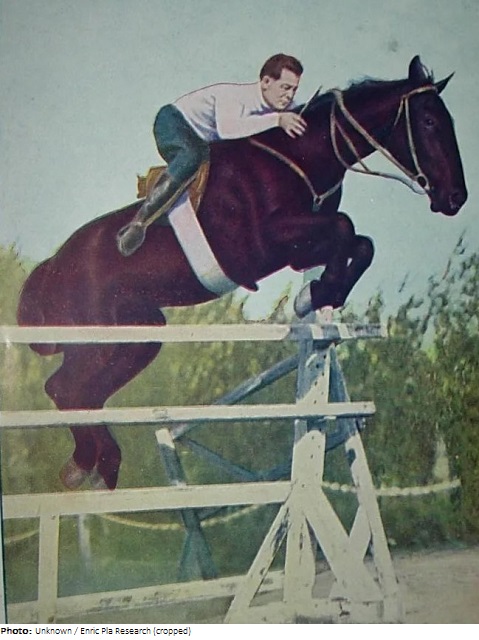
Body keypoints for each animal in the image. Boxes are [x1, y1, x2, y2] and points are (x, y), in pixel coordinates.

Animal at [17, 56, 467, 490]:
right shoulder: (262, 247)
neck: (301, 157)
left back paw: (93, 465)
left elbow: (359, 241)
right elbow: (344, 228)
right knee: (65, 387)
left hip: (138, 335)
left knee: (82, 390)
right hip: (94, 338)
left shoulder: (298, 248)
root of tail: (51, 267)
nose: (456, 198)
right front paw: (318, 292)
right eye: (429, 121)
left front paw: (319, 293)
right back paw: (93, 464)